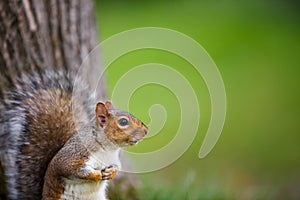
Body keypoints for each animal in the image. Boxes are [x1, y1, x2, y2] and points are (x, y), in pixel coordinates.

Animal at [0, 70, 148, 200]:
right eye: (123, 122)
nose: (146, 130)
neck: (107, 149)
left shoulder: (113, 160)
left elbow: (117, 167)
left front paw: (111, 173)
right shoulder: (74, 155)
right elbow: (71, 169)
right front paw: (96, 175)